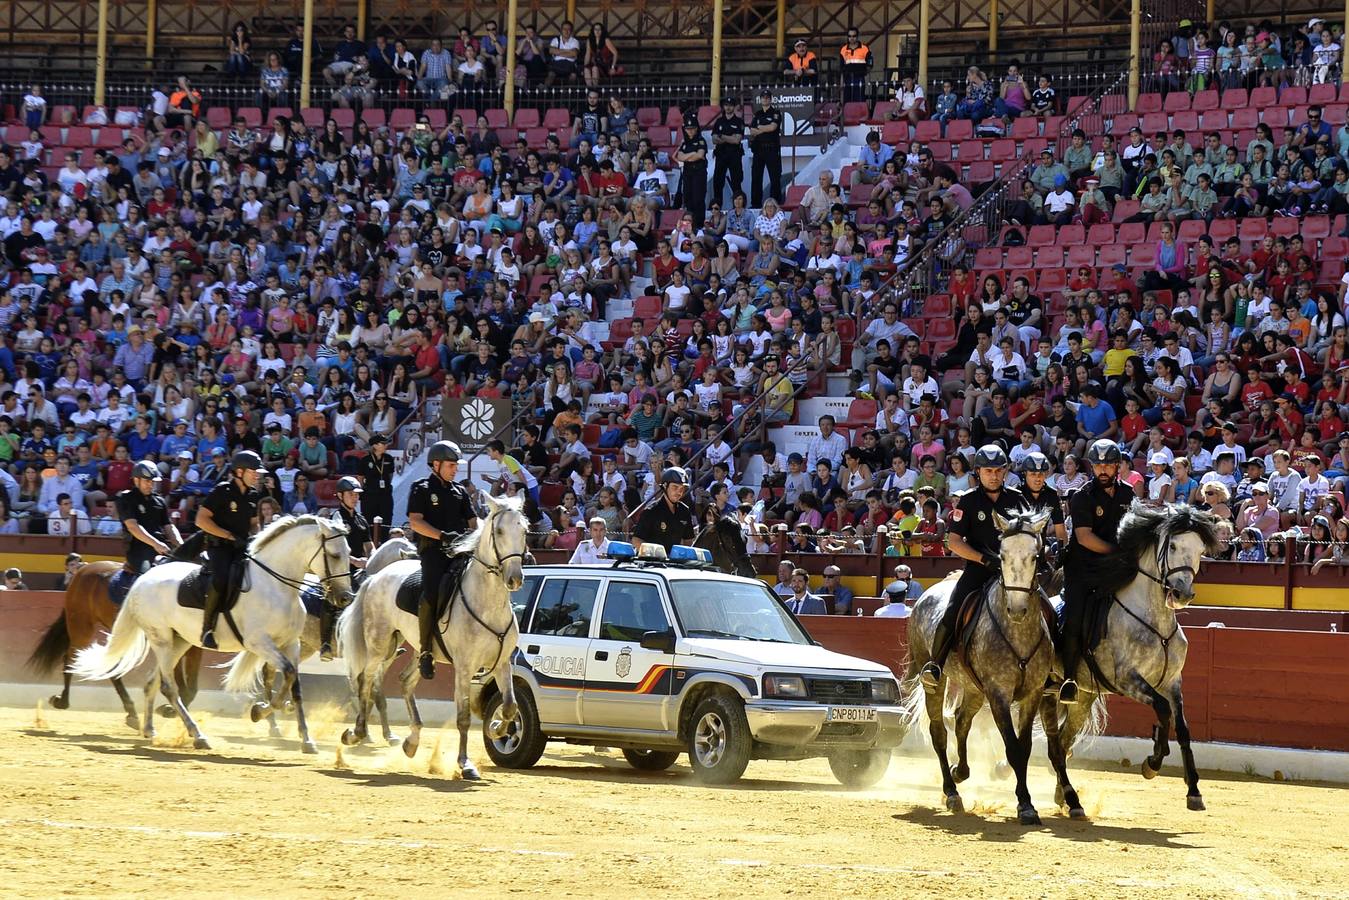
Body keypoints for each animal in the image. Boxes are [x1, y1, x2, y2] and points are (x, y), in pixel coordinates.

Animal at [25, 558, 199, 728]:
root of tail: (83, 569)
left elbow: (188, 681)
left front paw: (172, 709)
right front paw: (172, 709)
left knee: (110, 667)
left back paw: (131, 712)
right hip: (81, 627)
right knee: (72, 659)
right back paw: (63, 701)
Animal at [72, 512, 353, 755]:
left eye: (349, 554)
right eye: (334, 554)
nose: (345, 598)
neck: (276, 586)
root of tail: (143, 579)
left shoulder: (291, 644)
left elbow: (295, 685)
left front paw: (306, 739)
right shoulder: (260, 643)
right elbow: (289, 675)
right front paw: (259, 711)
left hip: (179, 642)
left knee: (152, 682)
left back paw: (149, 729)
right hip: (161, 640)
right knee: (168, 686)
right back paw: (197, 735)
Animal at [337, 493, 526, 782]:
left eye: (524, 531)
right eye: (500, 531)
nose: (515, 578)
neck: (487, 602)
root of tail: (376, 577)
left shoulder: (502, 663)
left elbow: (509, 706)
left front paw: (496, 728)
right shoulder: (464, 668)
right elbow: (463, 717)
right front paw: (465, 764)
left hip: (417, 649)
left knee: (404, 681)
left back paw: (411, 741)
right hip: (380, 644)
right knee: (366, 680)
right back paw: (356, 734)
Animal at [906, 507, 1052, 825]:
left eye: (1035, 556)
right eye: (1002, 555)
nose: (1017, 609)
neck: (1017, 631)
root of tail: (926, 595)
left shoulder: (1033, 693)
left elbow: (1024, 748)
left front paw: (1026, 803)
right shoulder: (998, 694)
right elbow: (1013, 748)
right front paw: (1025, 804)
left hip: (973, 688)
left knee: (961, 721)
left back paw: (960, 771)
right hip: (935, 679)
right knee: (939, 731)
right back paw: (951, 792)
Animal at [1041, 507, 1224, 814]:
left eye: (1200, 550)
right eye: (1173, 546)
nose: (1183, 594)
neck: (1155, 623)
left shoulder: (1173, 682)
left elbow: (1183, 729)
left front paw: (1194, 792)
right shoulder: (1127, 679)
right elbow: (1162, 711)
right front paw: (1153, 762)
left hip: (1082, 698)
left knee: (1063, 742)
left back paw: (1063, 796)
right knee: (1051, 743)